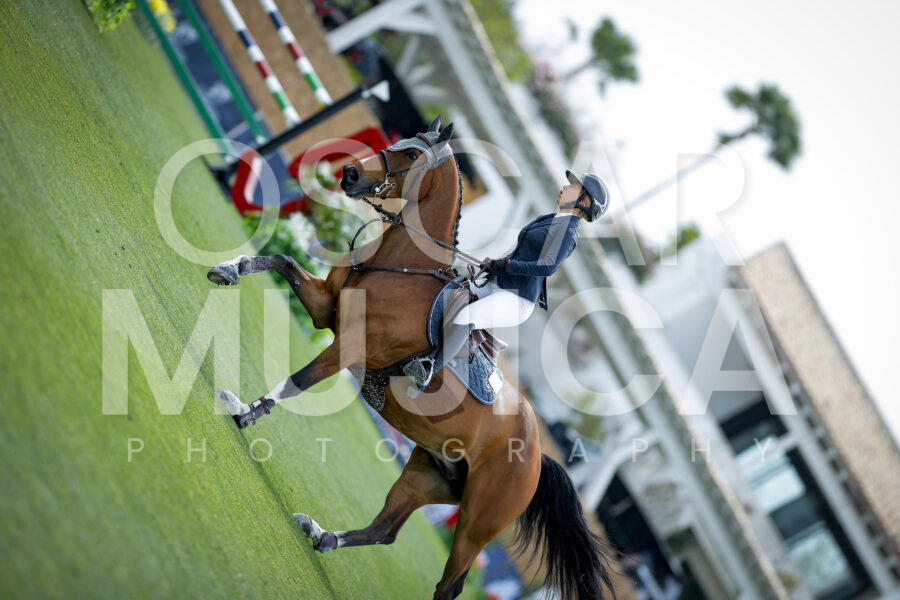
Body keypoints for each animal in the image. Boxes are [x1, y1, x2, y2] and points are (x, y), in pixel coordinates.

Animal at [211, 116, 616, 599]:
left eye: (409, 155)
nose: (349, 174)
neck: (400, 265)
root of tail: (539, 455)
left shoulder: (350, 346)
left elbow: (300, 379)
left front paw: (247, 412)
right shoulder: (326, 307)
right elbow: (279, 258)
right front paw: (228, 269)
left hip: (478, 519)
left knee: (451, 583)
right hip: (430, 471)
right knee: (386, 530)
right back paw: (321, 534)